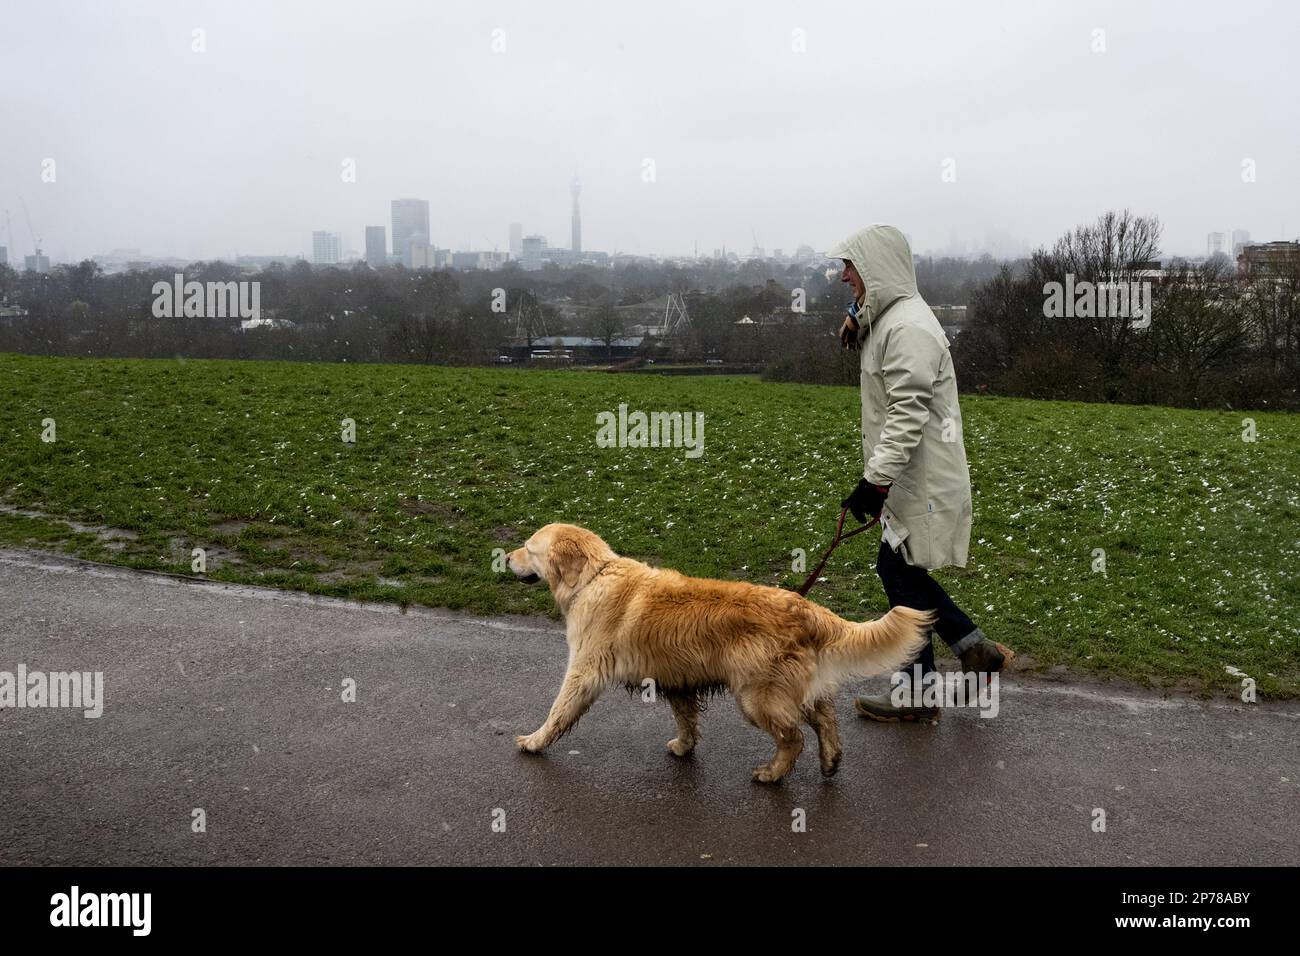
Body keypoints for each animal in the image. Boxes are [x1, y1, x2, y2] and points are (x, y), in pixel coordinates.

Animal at [506, 522, 935, 785]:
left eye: (528, 547)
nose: (506, 558)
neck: (592, 576)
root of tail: (803, 606)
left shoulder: (584, 671)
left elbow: (559, 711)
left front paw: (534, 741)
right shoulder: (676, 678)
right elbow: (685, 718)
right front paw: (684, 747)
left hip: (756, 695)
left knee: (794, 735)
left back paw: (772, 774)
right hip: (789, 688)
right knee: (824, 718)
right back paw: (830, 760)